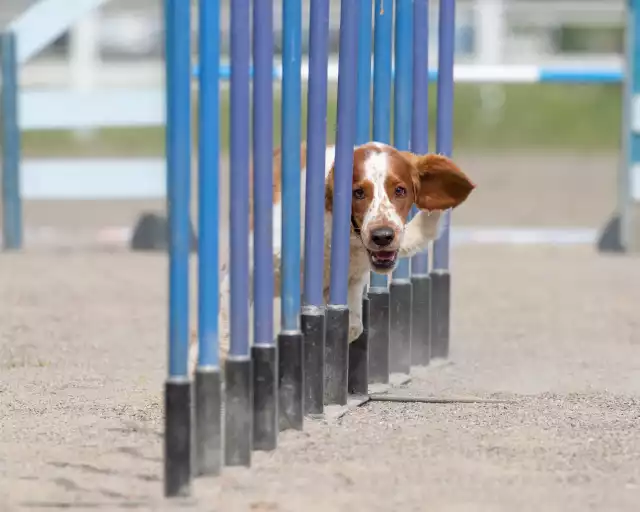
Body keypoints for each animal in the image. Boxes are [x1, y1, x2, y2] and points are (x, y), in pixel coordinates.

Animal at [188, 142, 472, 370]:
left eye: (400, 190)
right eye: (358, 192)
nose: (382, 236)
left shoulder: (351, 281)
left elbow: (352, 325)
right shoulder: (241, 276)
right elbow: (224, 330)